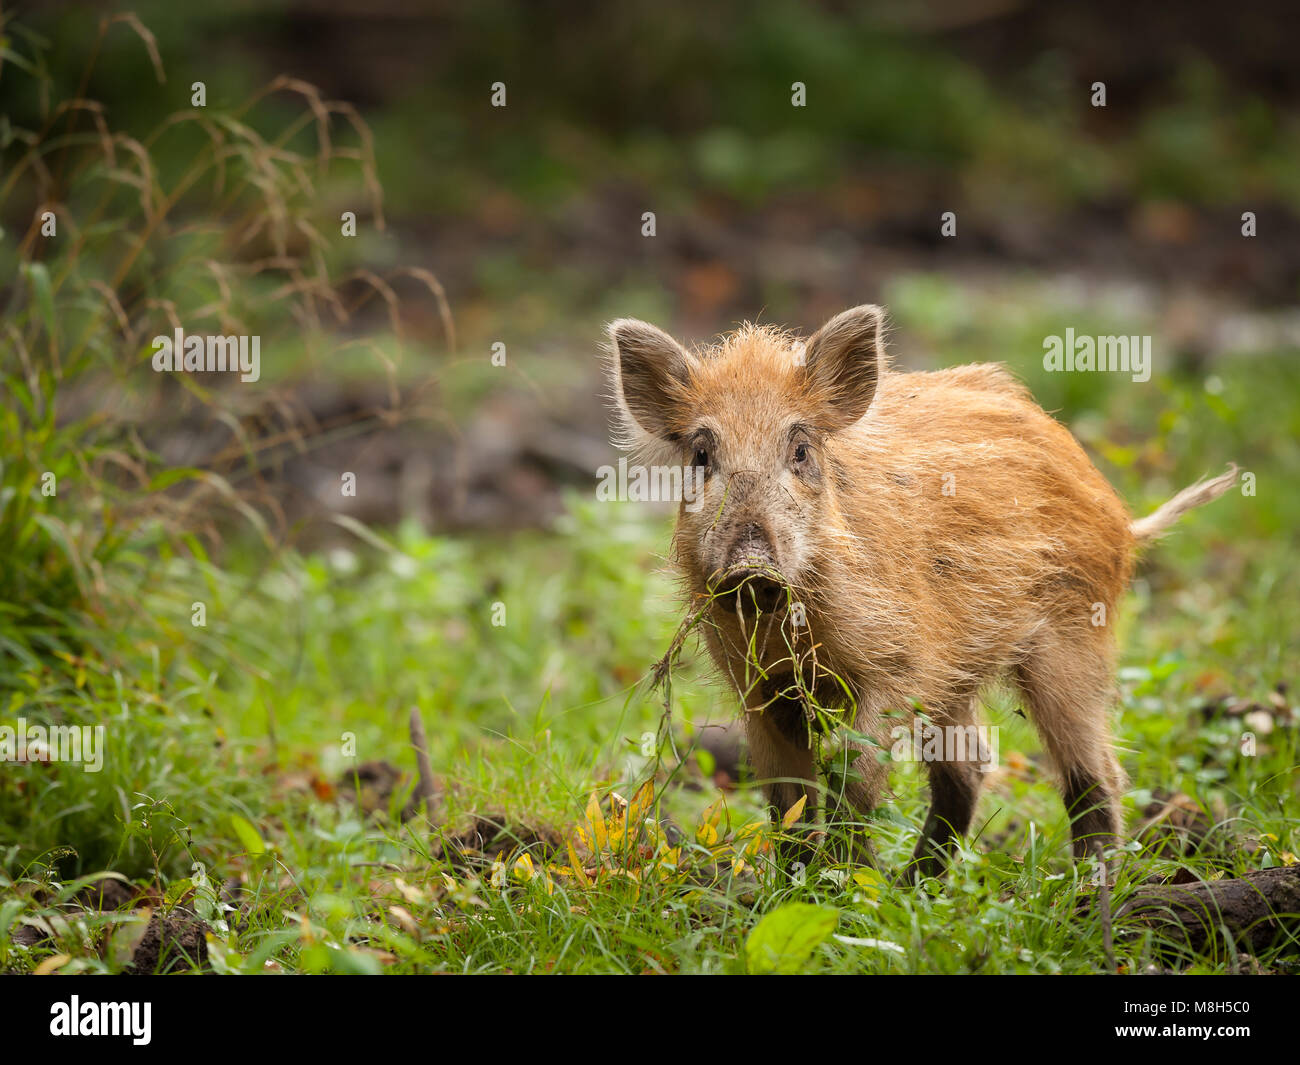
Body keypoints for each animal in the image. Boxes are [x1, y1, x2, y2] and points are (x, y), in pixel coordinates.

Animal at [606, 304, 1236, 878]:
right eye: (701, 455)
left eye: (800, 450)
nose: (751, 564)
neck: (791, 628)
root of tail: (1121, 517)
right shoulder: (758, 687)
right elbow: (787, 798)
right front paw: (794, 889)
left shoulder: (899, 664)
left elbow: (852, 775)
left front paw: (842, 885)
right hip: (962, 671)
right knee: (972, 766)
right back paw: (918, 886)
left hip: (1072, 634)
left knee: (1095, 768)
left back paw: (1084, 890)